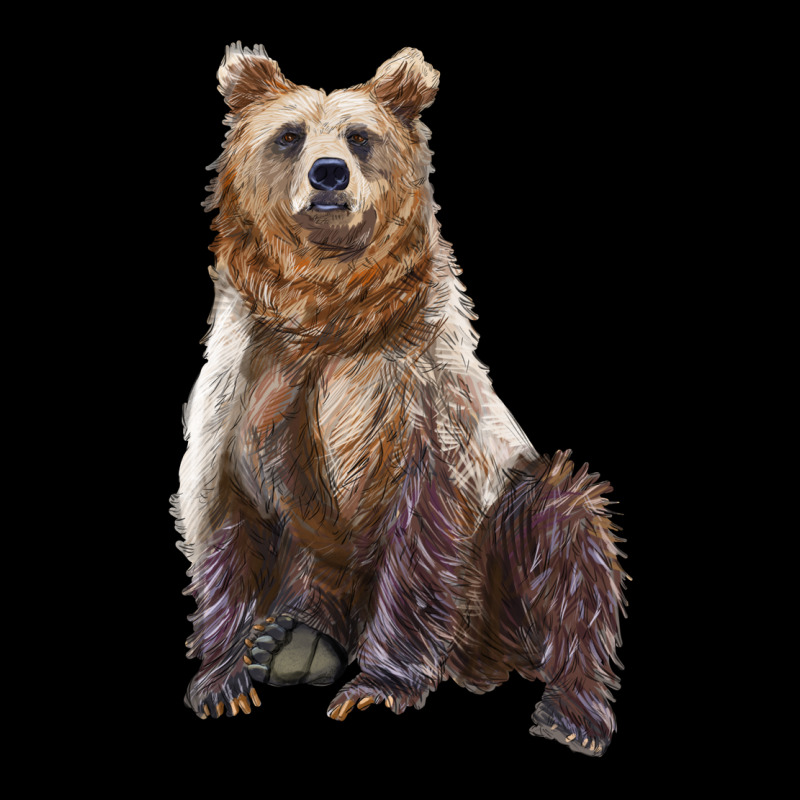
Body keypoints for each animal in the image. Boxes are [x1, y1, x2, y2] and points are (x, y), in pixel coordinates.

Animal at [171, 43, 628, 756]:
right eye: (289, 135)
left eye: (360, 137)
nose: (329, 175)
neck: (324, 306)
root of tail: (480, 663)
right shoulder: (246, 386)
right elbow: (225, 511)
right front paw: (221, 682)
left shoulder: (417, 398)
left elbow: (421, 522)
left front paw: (376, 688)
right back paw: (289, 643)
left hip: (500, 554)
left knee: (564, 522)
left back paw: (572, 714)